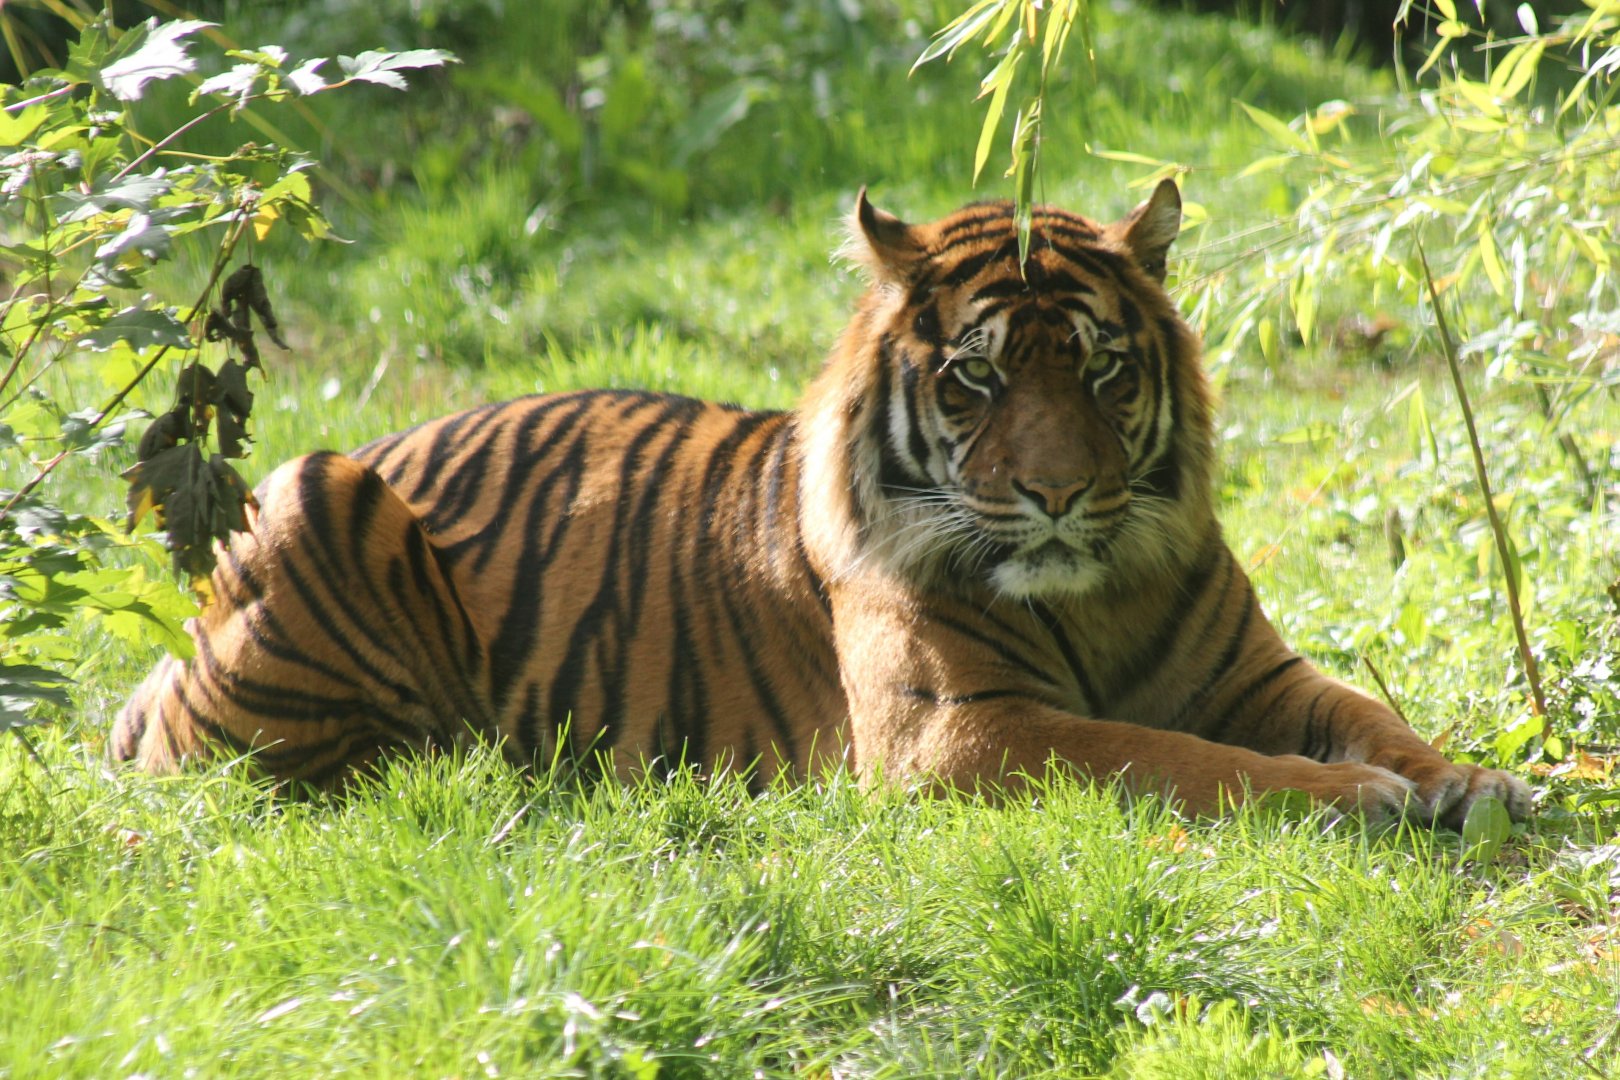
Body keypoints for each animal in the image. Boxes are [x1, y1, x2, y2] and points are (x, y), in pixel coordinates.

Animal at [113, 179, 1531, 828]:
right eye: (975, 377)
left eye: (1104, 370)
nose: (1060, 494)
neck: (1098, 598)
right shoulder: (960, 732)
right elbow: (1175, 759)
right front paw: (1360, 800)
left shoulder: (1254, 669)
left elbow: (1365, 712)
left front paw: (1467, 781)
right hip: (306, 492)